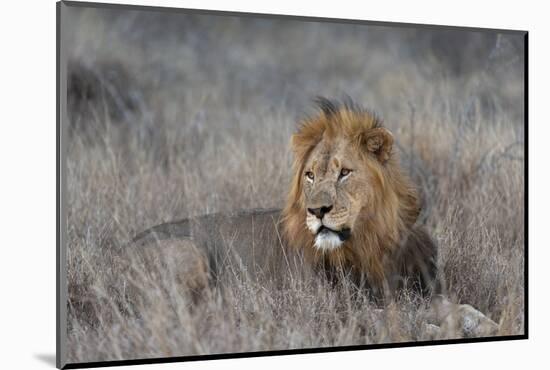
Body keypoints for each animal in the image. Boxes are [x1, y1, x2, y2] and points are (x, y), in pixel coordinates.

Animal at [133, 97, 500, 338]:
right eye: (309, 176)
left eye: (344, 173)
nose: (317, 210)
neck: (371, 244)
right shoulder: (338, 309)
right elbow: (398, 321)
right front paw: (437, 331)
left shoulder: (411, 291)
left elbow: (461, 308)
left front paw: (489, 324)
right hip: (187, 252)